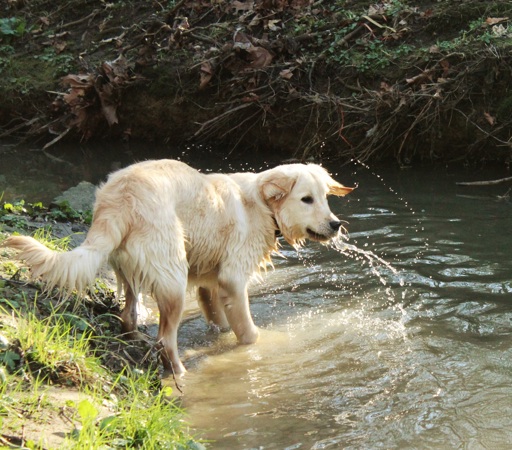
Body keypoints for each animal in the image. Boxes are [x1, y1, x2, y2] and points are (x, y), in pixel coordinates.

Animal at [4, 159, 354, 375]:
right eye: (306, 199)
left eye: (325, 197)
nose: (336, 224)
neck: (262, 205)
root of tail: (118, 199)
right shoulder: (232, 280)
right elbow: (248, 332)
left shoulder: (209, 284)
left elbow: (219, 321)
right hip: (173, 278)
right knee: (165, 338)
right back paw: (180, 372)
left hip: (130, 273)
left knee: (128, 315)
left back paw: (137, 344)